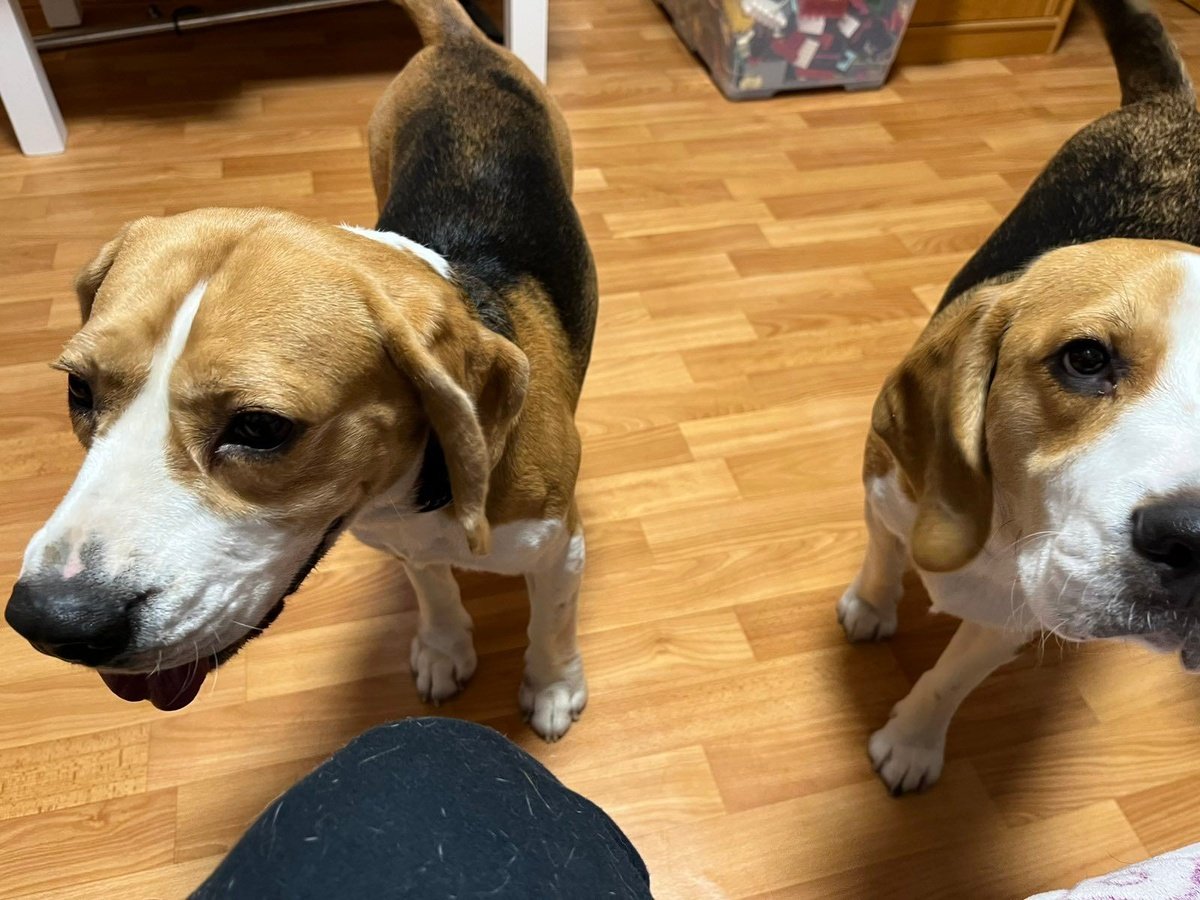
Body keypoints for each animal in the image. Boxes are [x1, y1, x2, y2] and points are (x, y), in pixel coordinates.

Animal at [4, 0, 597, 741]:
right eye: (77, 389)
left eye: (261, 428)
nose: (51, 623)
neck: (413, 492)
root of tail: (461, 41)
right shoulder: (397, 539)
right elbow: (431, 584)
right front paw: (443, 646)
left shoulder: (559, 549)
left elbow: (552, 621)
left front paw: (551, 686)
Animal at [841, 0, 1200, 794]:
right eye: (1086, 359)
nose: (1195, 538)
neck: (1001, 527)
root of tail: (1173, 102)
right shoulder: (885, 494)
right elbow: (882, 560)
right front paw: (870, 609)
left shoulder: (1014, 620)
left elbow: (947, 680)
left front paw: (911, 743)